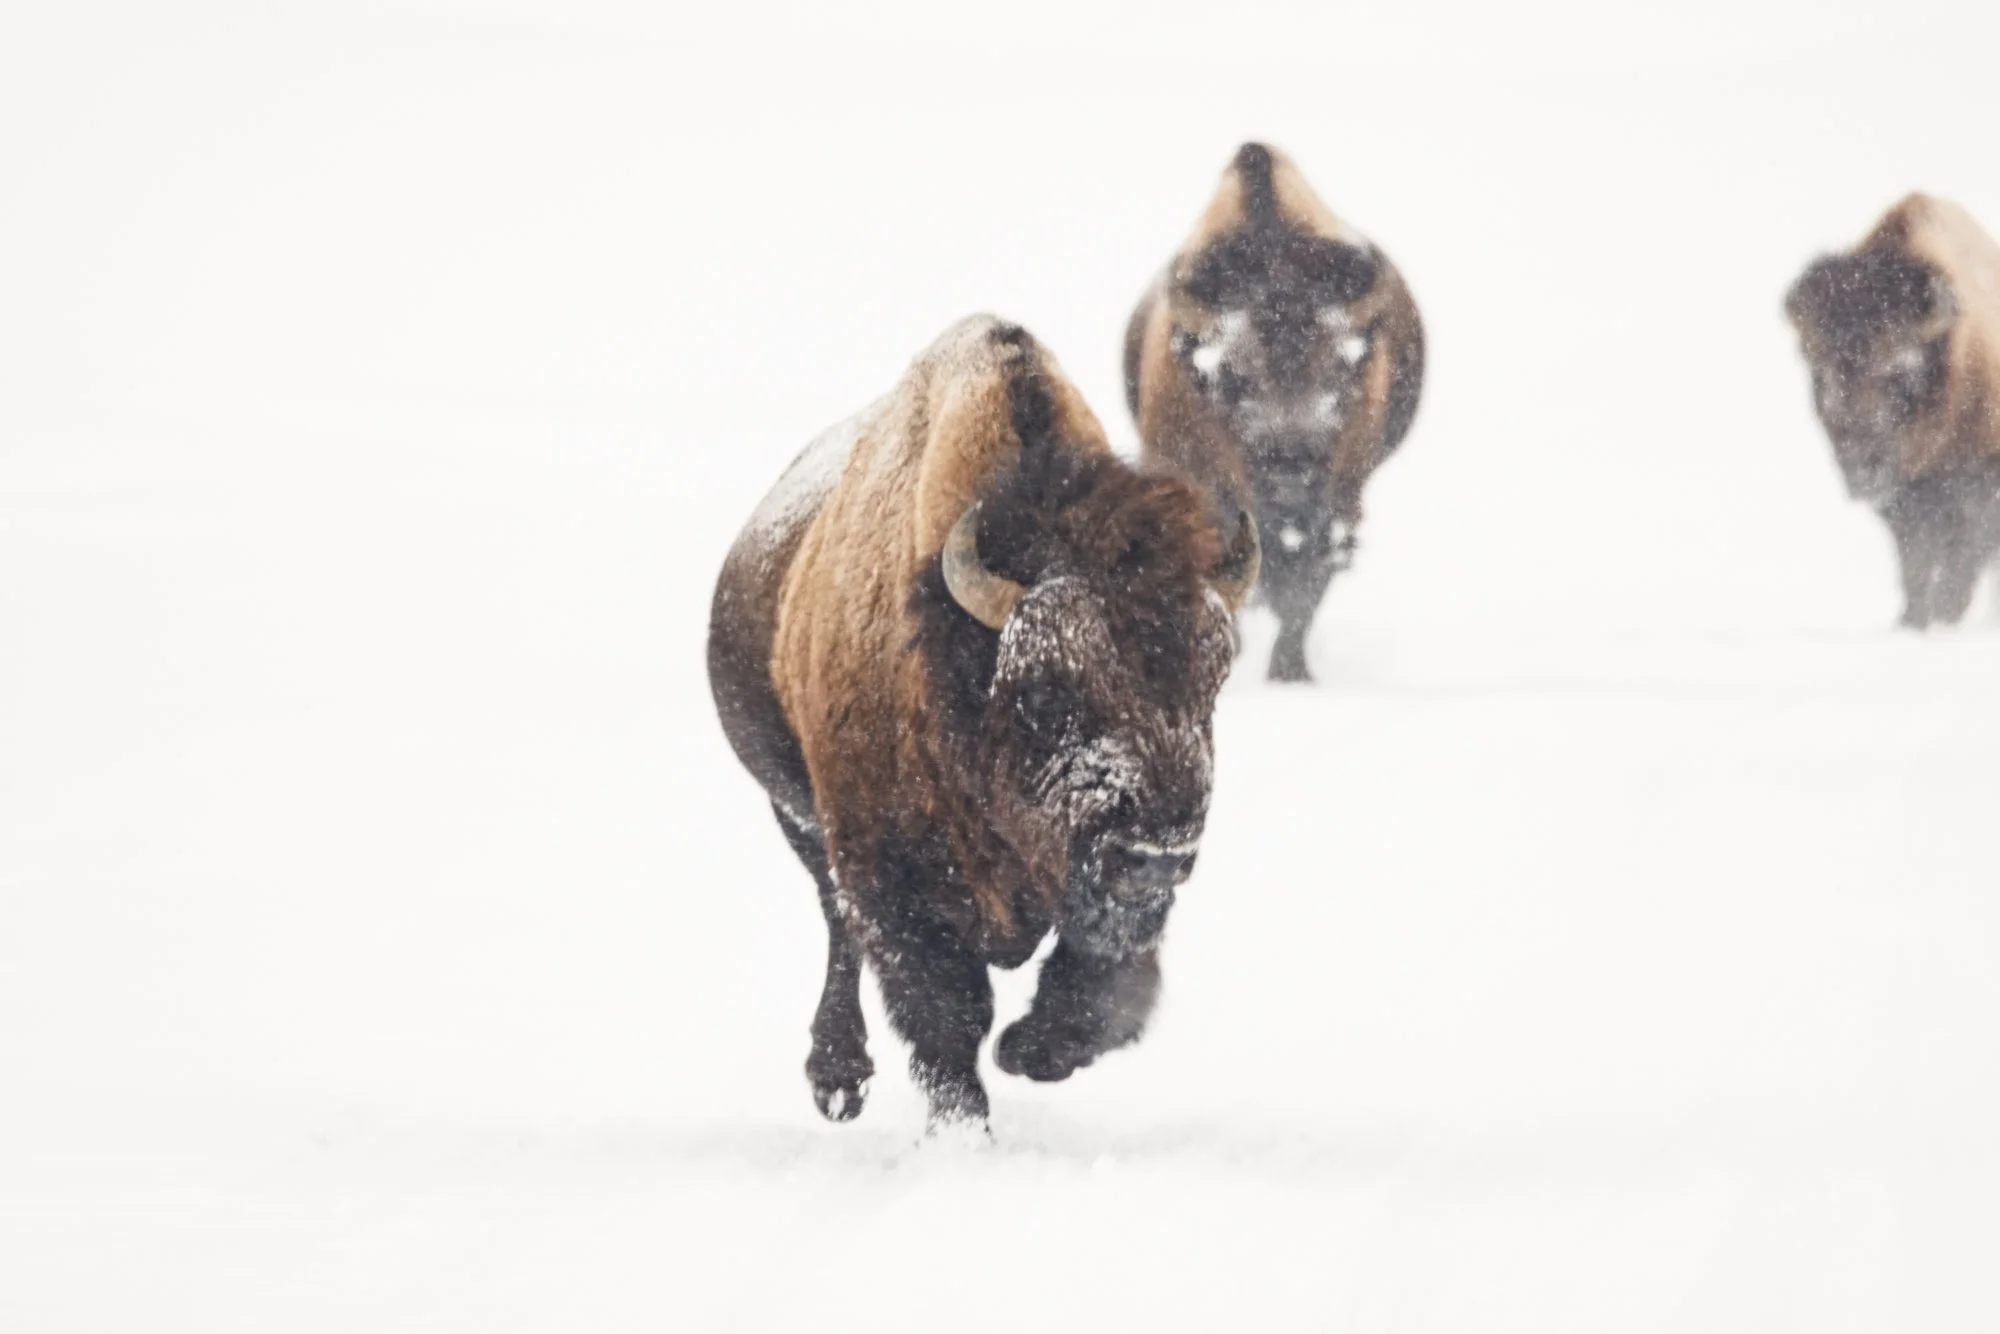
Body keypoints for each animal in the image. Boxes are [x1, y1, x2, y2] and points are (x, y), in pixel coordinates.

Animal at [708, 316, 1258, 1127]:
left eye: (1212, 683)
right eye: (1041, 694)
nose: (1154, 853)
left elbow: (1101, 987)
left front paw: (1033, 1049)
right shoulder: (892, 883)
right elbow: (946, 1017)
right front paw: (965, 1126)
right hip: (796, 813)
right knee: (836, 923)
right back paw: (837, 1079)